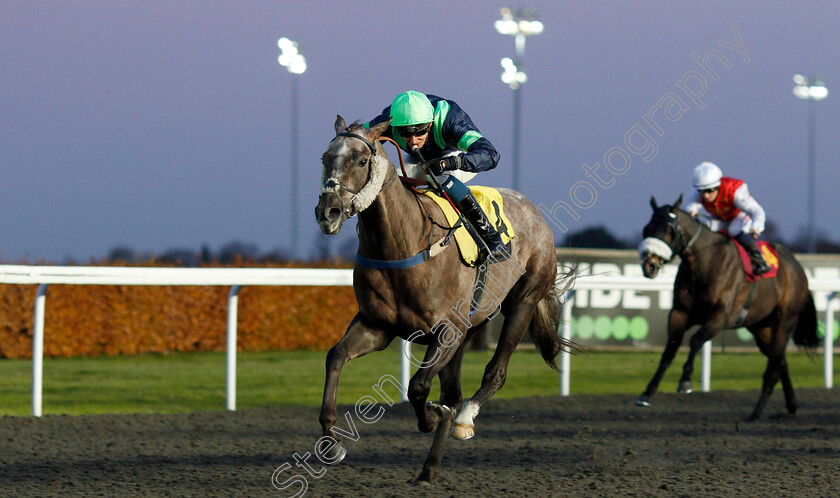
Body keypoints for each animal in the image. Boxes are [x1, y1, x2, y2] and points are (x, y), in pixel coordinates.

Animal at [316, 115, 576, 482]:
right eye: (325, 158)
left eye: (362, 161)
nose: (328, 212)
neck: (403, 243)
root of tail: (533, 210)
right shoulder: (376, 326)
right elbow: (336, 357)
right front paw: (331, 442)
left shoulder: (447, 332)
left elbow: (418, 388)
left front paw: (431, 416)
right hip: (469, 328)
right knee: (454, 393)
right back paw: (429, 469)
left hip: (523, 302)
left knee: (494, 373)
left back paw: (465, 420)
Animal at [636, 196, 812, 420]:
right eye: (647, 229)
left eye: (669, 229)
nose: (649, 265)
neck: (705, 263)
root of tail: (797, 267)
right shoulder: (679, 314)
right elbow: (670, 350)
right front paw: (646, 393)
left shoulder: (721, 316)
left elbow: (696, 340)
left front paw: (685, 381)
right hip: (761, 328)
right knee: (780, 361)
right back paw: (791, 405)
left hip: (784, 321)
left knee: (773, 367)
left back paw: (755, 414)